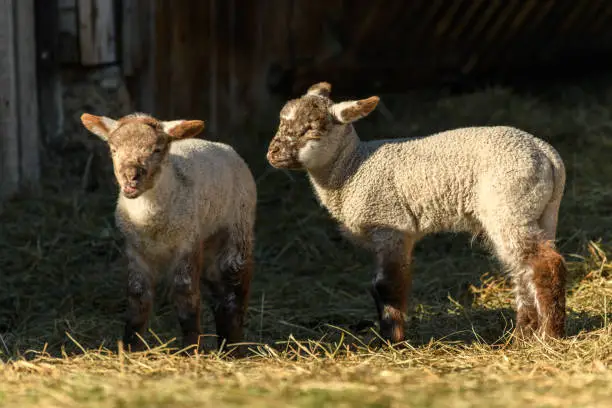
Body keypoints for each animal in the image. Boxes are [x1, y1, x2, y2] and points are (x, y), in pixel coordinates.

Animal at [80, 111, 256, 354]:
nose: (131, 176)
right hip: (210, 243)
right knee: (217, 290)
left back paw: (234, 347)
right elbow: (137, 297)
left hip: (237, 227)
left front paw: (190, 350)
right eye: (113, 150)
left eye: (156, 149)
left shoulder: (187, 242)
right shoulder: (135, 250)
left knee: (235, 287)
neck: (150, 222)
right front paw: (130, 348)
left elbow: (185, 295)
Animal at [266, 82, 568, 342]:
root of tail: (548, 154)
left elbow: (387, 286)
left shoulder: (390, 225)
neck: (352, 168)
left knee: (545, 265)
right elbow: (377, 286)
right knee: (523, 270)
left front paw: (392, 340)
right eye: (281, 121)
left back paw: (550, 336)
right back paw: (522, 336)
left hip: (508, 206)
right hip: (536, 212)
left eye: (311, 129)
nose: (272, 154)